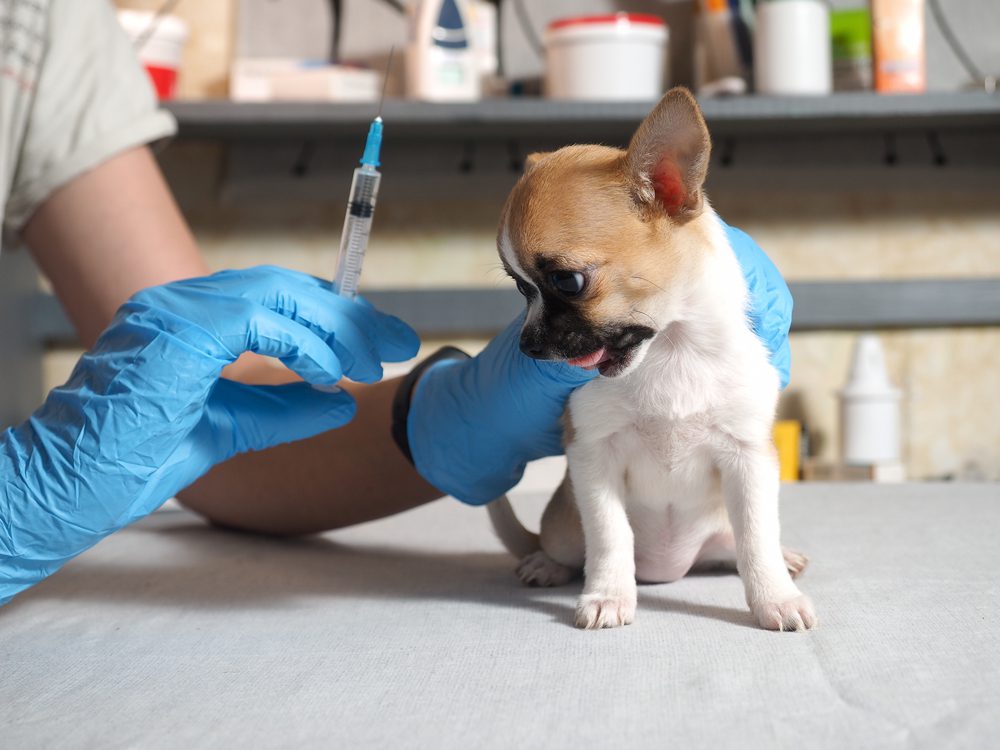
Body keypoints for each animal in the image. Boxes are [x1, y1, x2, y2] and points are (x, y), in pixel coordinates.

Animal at [488, 88, 816, 636]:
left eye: (567, 282)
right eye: (519, 288)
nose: (528, 347)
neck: (670, 350)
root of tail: (672, 569)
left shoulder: (748, 459)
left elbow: (756, 539)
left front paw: (775, 598)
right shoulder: (593, 457)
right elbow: (609, 536)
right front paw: (608, 595)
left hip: (718, 529)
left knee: (734, 548)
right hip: (563, 528)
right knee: (568, 548)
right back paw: (547, 564)